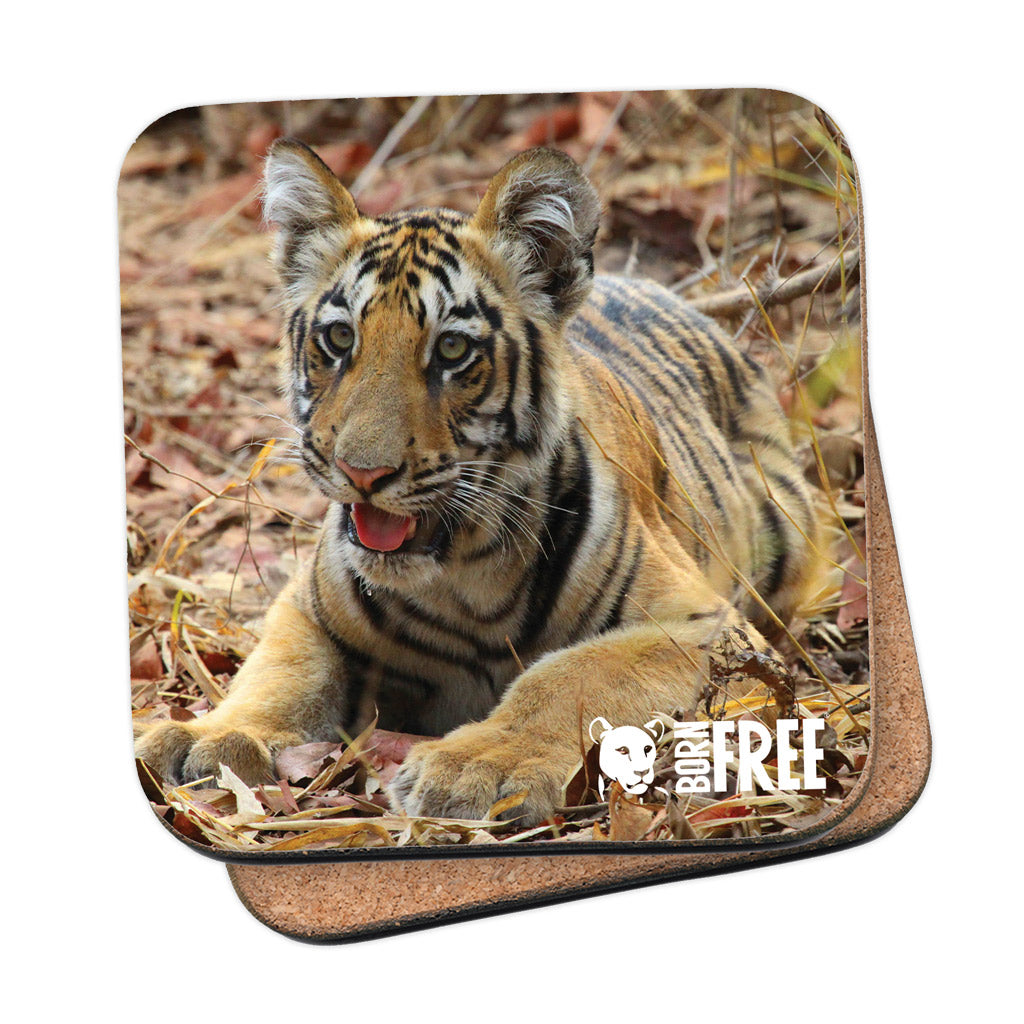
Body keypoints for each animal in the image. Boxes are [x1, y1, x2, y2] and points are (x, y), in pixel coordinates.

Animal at [135, 141, 817, 826]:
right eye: (340, 337)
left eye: (453, 350)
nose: (363, 473)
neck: (464, 577)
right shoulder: (305, 607)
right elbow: (280, 674)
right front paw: (211, 736)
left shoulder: (700, 625)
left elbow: (571, 675)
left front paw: (479, 766)